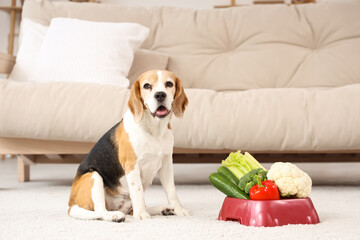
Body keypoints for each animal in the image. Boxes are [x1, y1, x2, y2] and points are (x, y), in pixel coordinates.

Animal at [68, 70, 190, 222]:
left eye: (169, 84)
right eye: (147, 86)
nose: (160, 95)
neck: (154, 130)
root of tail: (71, 203)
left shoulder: (166, 164)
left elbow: (171, 190)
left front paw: (179, 209)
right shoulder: (132, 165)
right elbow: (137, 191)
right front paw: (141, 215)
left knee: (130, 209)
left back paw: (163, 209)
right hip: (93, 176)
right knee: (100, 211)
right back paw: (115, 216)